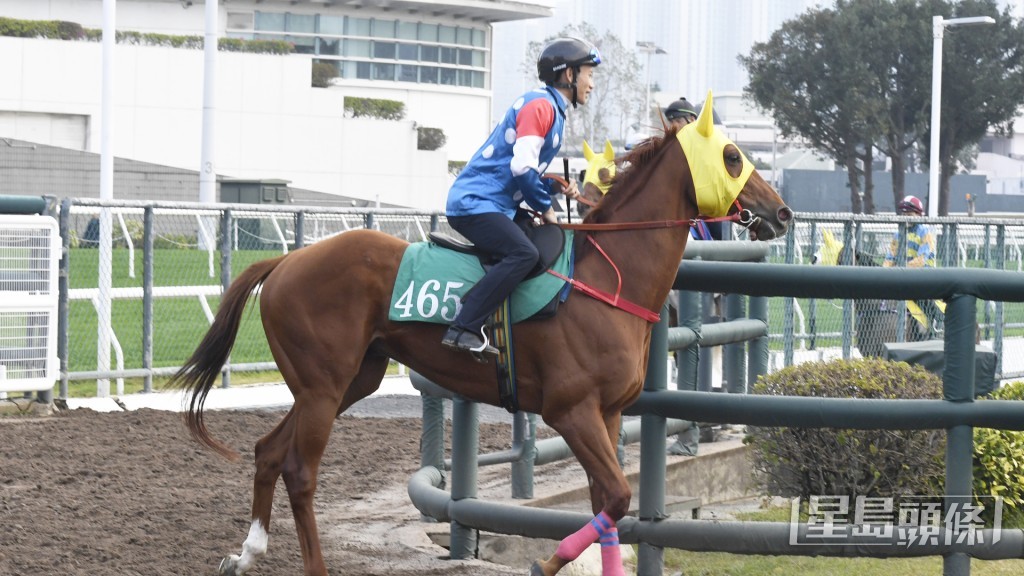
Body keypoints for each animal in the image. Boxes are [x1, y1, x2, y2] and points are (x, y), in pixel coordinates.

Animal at [168, 91, 793, 576]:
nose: (783, 213)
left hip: (347, 381)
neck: (605, 277)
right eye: (732, 156)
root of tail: (284, 263)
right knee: (299, 470)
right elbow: (616, 496)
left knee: (268, 451)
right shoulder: (571, 410)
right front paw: (544, 560)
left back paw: (247, 553)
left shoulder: (610, 413)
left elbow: (610, 503)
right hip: (323, 385)